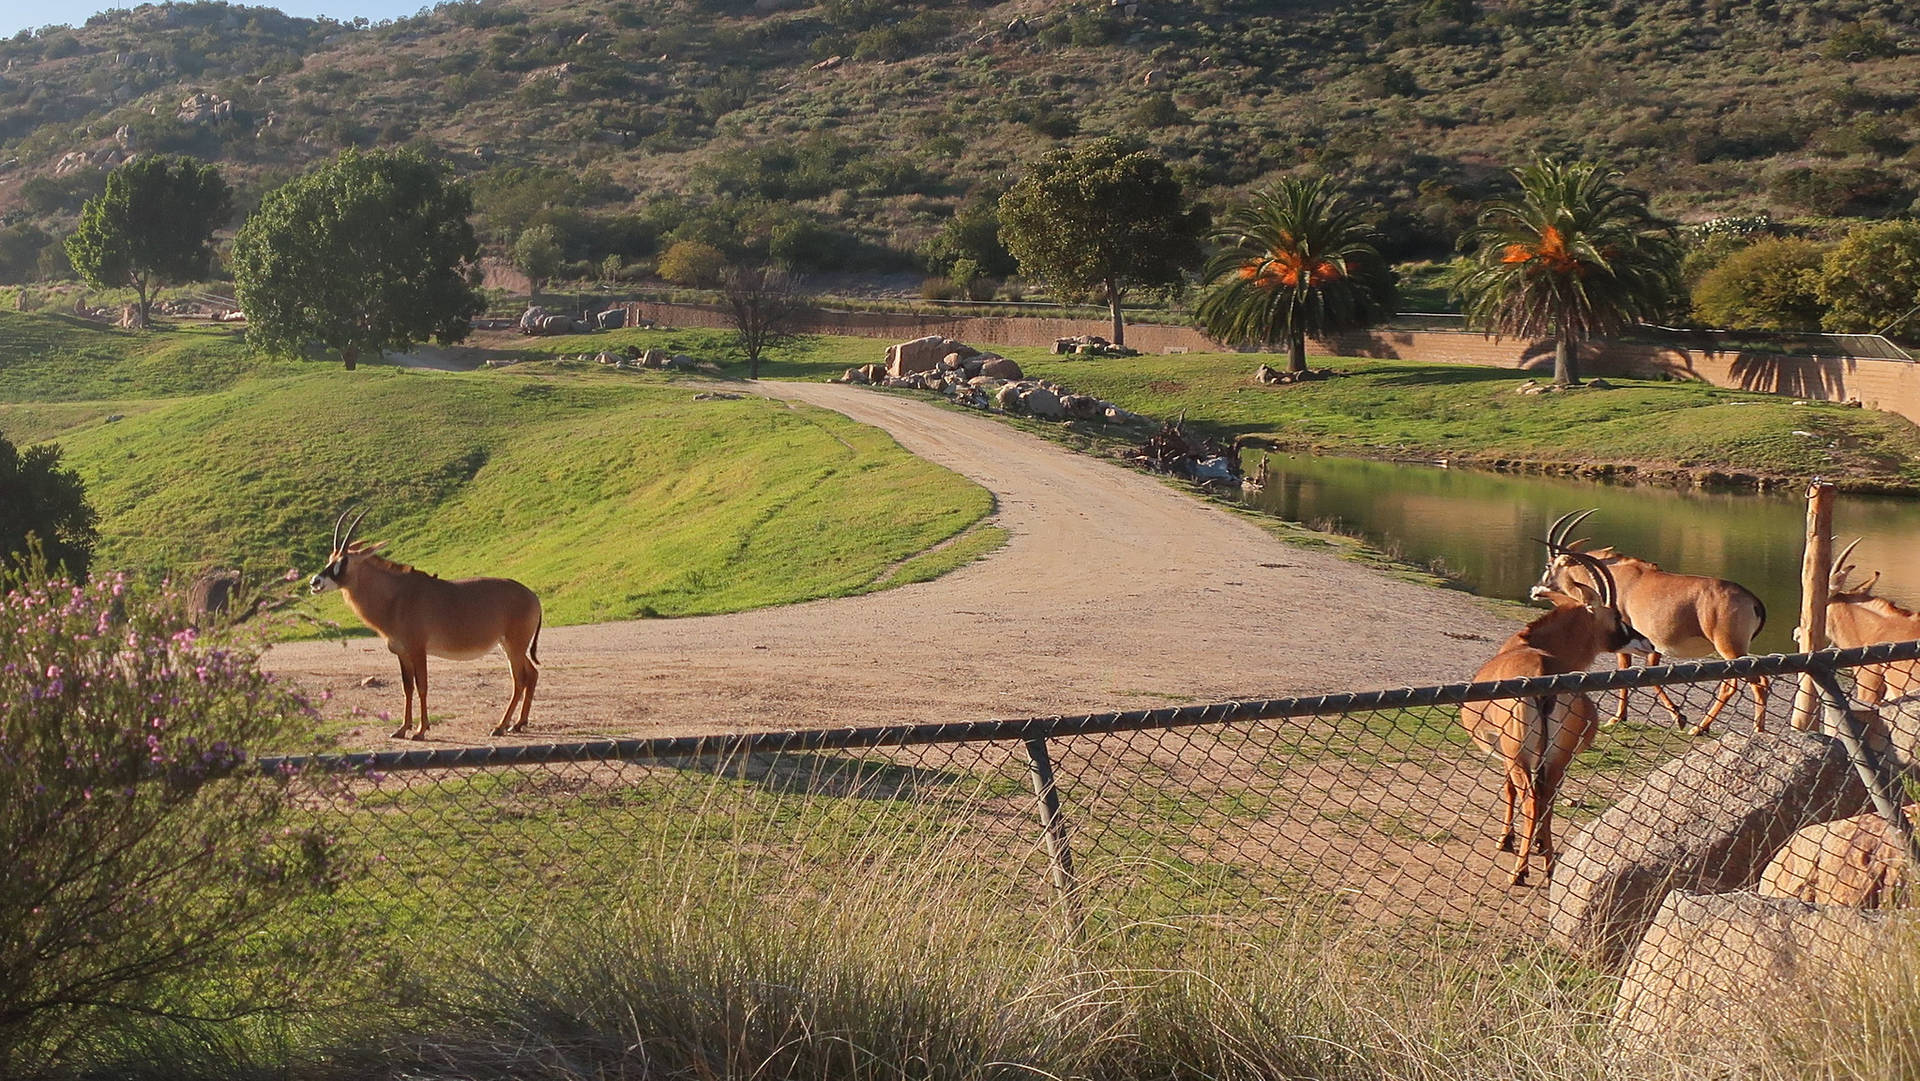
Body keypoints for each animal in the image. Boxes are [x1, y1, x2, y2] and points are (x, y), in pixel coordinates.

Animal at [309, 510, 545, 741]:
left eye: (345, 560)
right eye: (330, 558)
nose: (315, 582)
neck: (396, 596)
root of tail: (533, 597)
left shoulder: (417, 650)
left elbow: (422, 686)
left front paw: (421, 730)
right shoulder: (402, 653)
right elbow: (407, 688)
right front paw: (402, 729)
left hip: (514, 647)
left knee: (519, 680)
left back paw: (500, 726)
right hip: (510, 646)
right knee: (531, 674)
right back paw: (518, 724)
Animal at [1451, 549, 1651, 887]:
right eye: (1616, 618)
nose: (1646, 642)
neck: (1532, 644)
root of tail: (1542, 671)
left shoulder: (1507, 755)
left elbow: (1510, 790)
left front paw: (1506, 840)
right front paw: (1538, 845)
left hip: (1519, 753)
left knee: (1532, 799)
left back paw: (1519, 872)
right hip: (1558, 757)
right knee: (1546, 797)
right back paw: (1547, 866)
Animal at [1528, 510, 1766, 741]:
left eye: (1549, 564)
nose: (1536, 589)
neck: (1616, 573)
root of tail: (1752, 599)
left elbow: (1626, 671)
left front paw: (1621, 717)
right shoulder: (1654, 645)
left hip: (1728, 648)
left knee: (1747, 682)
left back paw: (1733, 729)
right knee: (1746, 682)